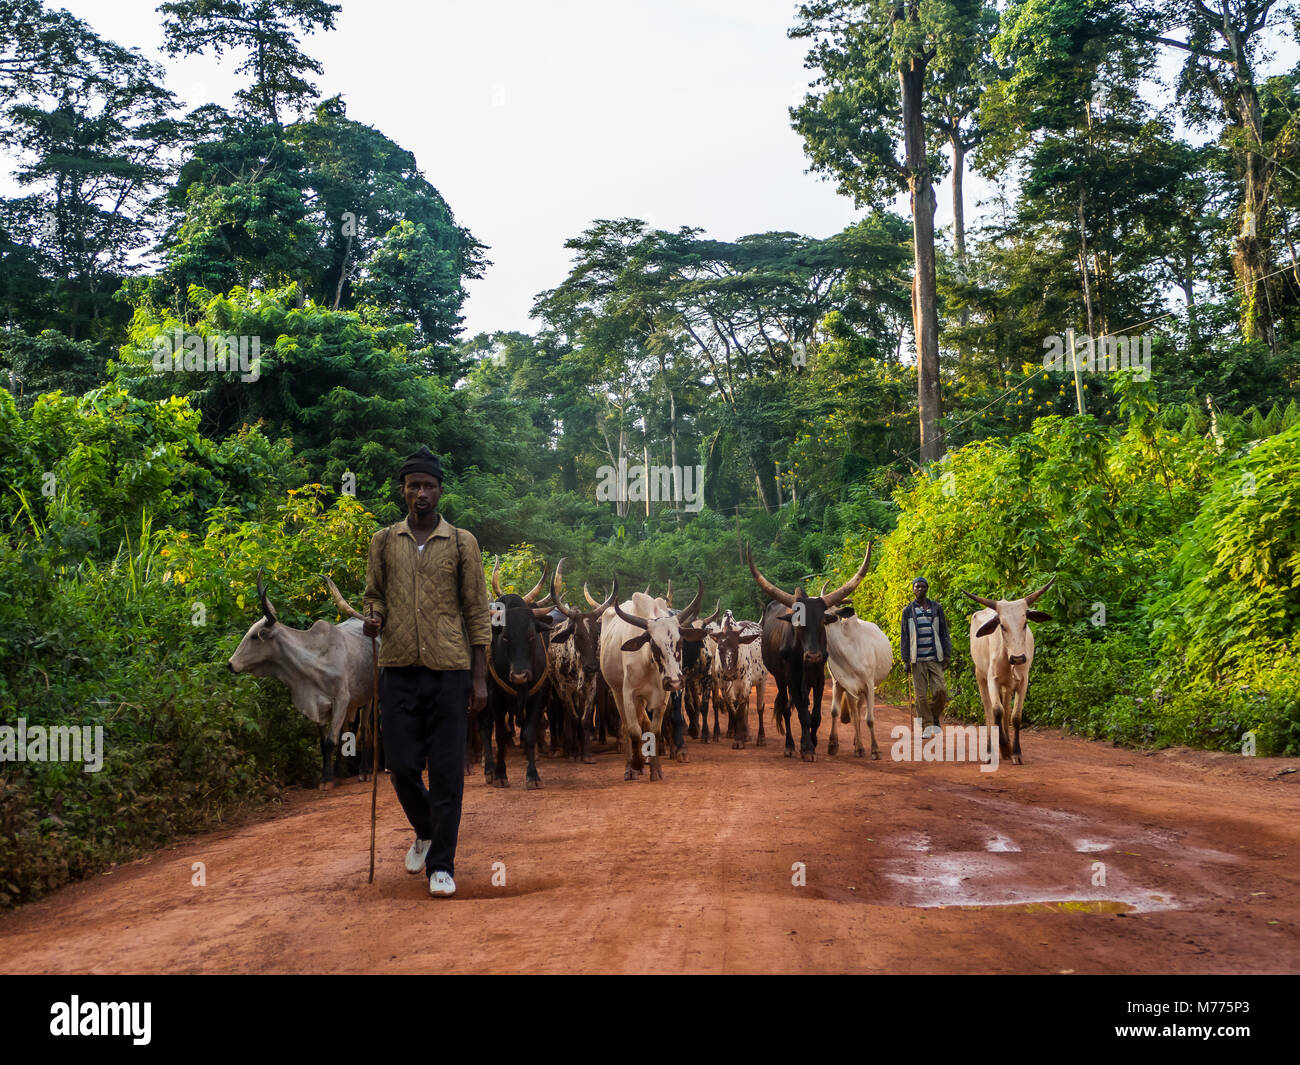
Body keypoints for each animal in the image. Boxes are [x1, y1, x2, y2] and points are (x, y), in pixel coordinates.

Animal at [748, 546, 868, 764]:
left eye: (822, 621)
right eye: (798, 621)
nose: (812, 656)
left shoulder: (819, 677)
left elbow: (816, 715)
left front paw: (812, 741)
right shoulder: (791, 678)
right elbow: (802, 713)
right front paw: (807, 748)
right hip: (780, 679)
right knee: (787, 708)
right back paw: (790, 746)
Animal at [967, 574, 1055, 764]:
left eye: (1025, 623)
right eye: (1002, 625)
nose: (1018, 658)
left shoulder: (1023, 681)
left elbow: (1015, 716)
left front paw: (1015, 752)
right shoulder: (992, 680)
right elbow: (996, 712)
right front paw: (1004, 747)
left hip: (1007, 685)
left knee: (1006, 707)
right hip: (981, 676)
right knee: (989, 712)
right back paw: (990, 750)